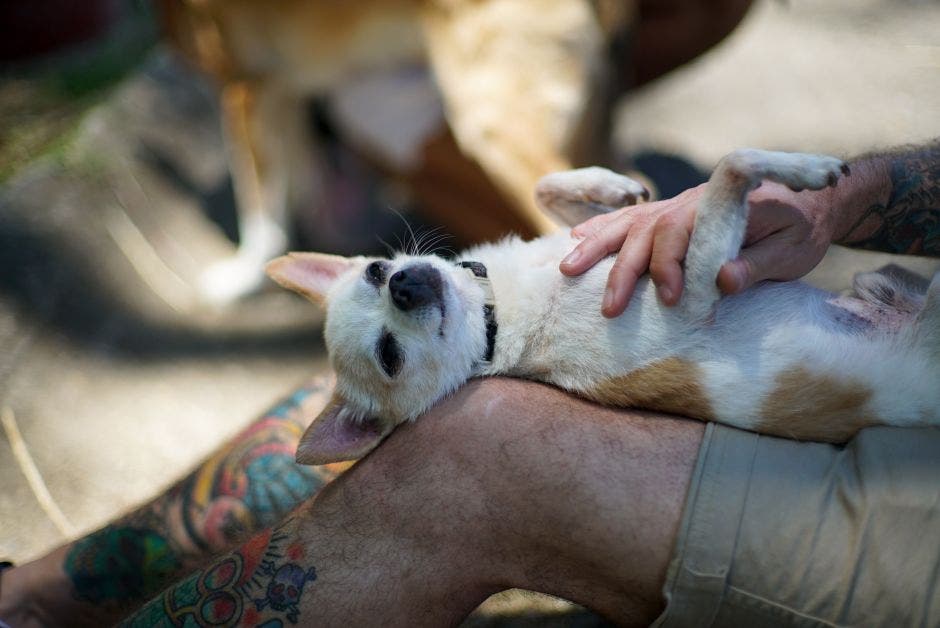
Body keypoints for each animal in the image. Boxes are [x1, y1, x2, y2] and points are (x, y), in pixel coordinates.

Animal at [160, 0, 632, 304]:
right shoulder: (288, 92)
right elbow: (303, 173)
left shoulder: (245, 88)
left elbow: (259, 200)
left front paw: (244, 274)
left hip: (490, 120)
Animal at [264, 146, 940, 462]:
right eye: (389, 356)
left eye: (376, 272)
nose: (404, 285)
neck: (500, 301)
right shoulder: (695, 292)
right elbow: (728, 170)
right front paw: (800, 170)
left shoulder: (582, 239)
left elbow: (548, 190)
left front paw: (611, 187)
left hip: (883, 277)